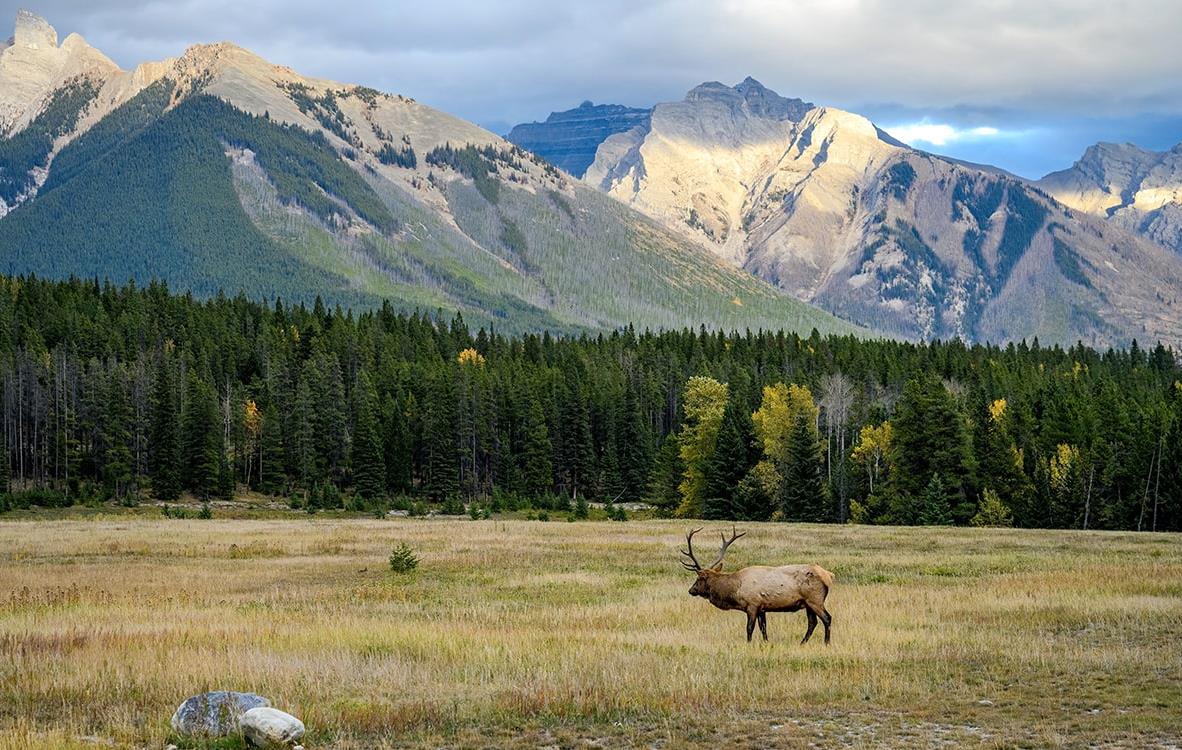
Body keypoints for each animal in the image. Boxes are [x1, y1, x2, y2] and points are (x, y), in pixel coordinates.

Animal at [680, 529, 836, 647]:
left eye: (699, 579)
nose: (691, 590)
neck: (736, 590)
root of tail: (829, 575)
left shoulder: (752, 605)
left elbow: (749, 628)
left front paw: (748, 644)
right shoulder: (762, 608)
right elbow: (763, 629)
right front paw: (766, 643)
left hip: (815, 599)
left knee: (827, 618)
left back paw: (826, 643)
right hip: (807, 603)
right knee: (812, 622)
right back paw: (802, 643)